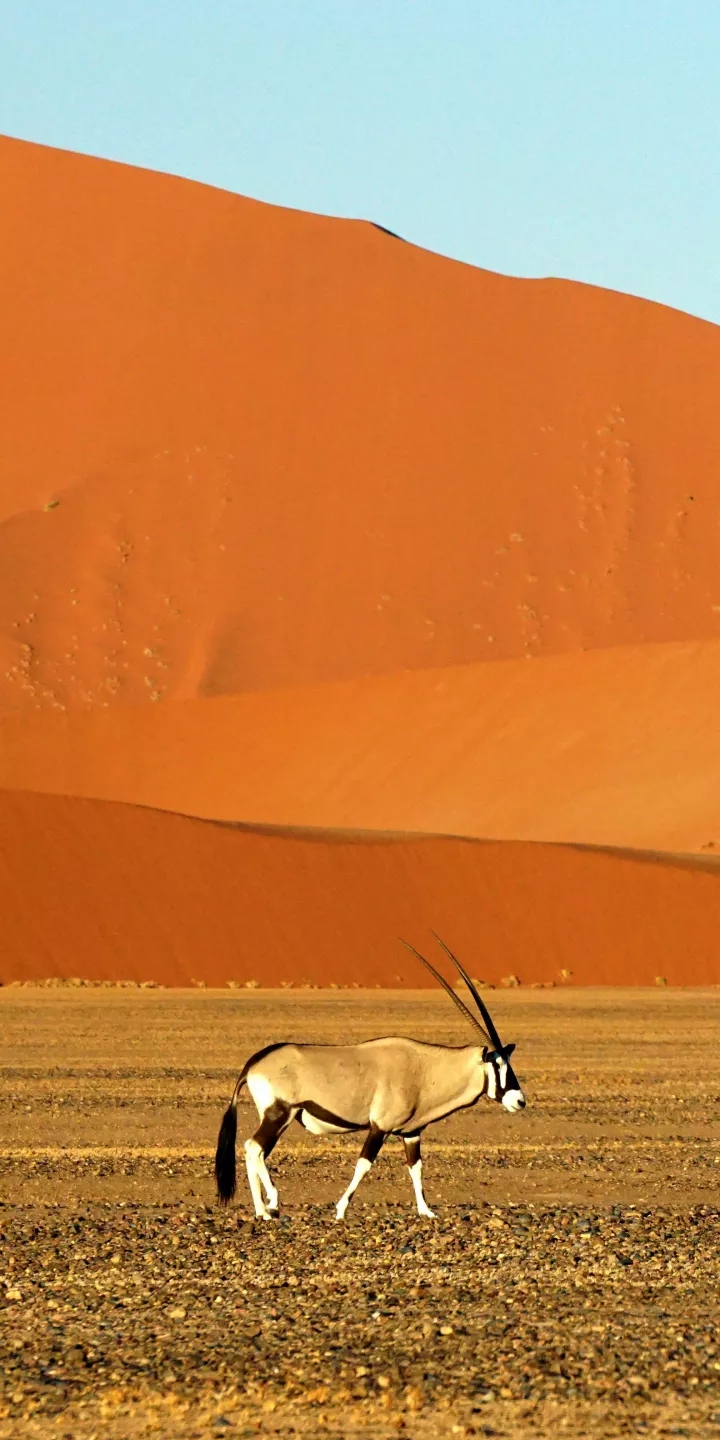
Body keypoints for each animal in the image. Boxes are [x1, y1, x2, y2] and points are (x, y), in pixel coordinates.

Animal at [214, 934, 525, 1220]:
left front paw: (426, 1211)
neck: (424, 1068)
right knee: (254, 1148)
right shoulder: (380, 1127)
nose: (520, 1101)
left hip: (280, 1118)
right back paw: (267, 1206)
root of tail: (254, 1063)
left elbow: (416, 1168)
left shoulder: (411, 1132)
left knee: (256, 1151)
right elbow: (364, 1164)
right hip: (280, 1113)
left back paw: (266, 1206)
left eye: (510, 1063)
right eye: (498, 1065)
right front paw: (340, 1210)